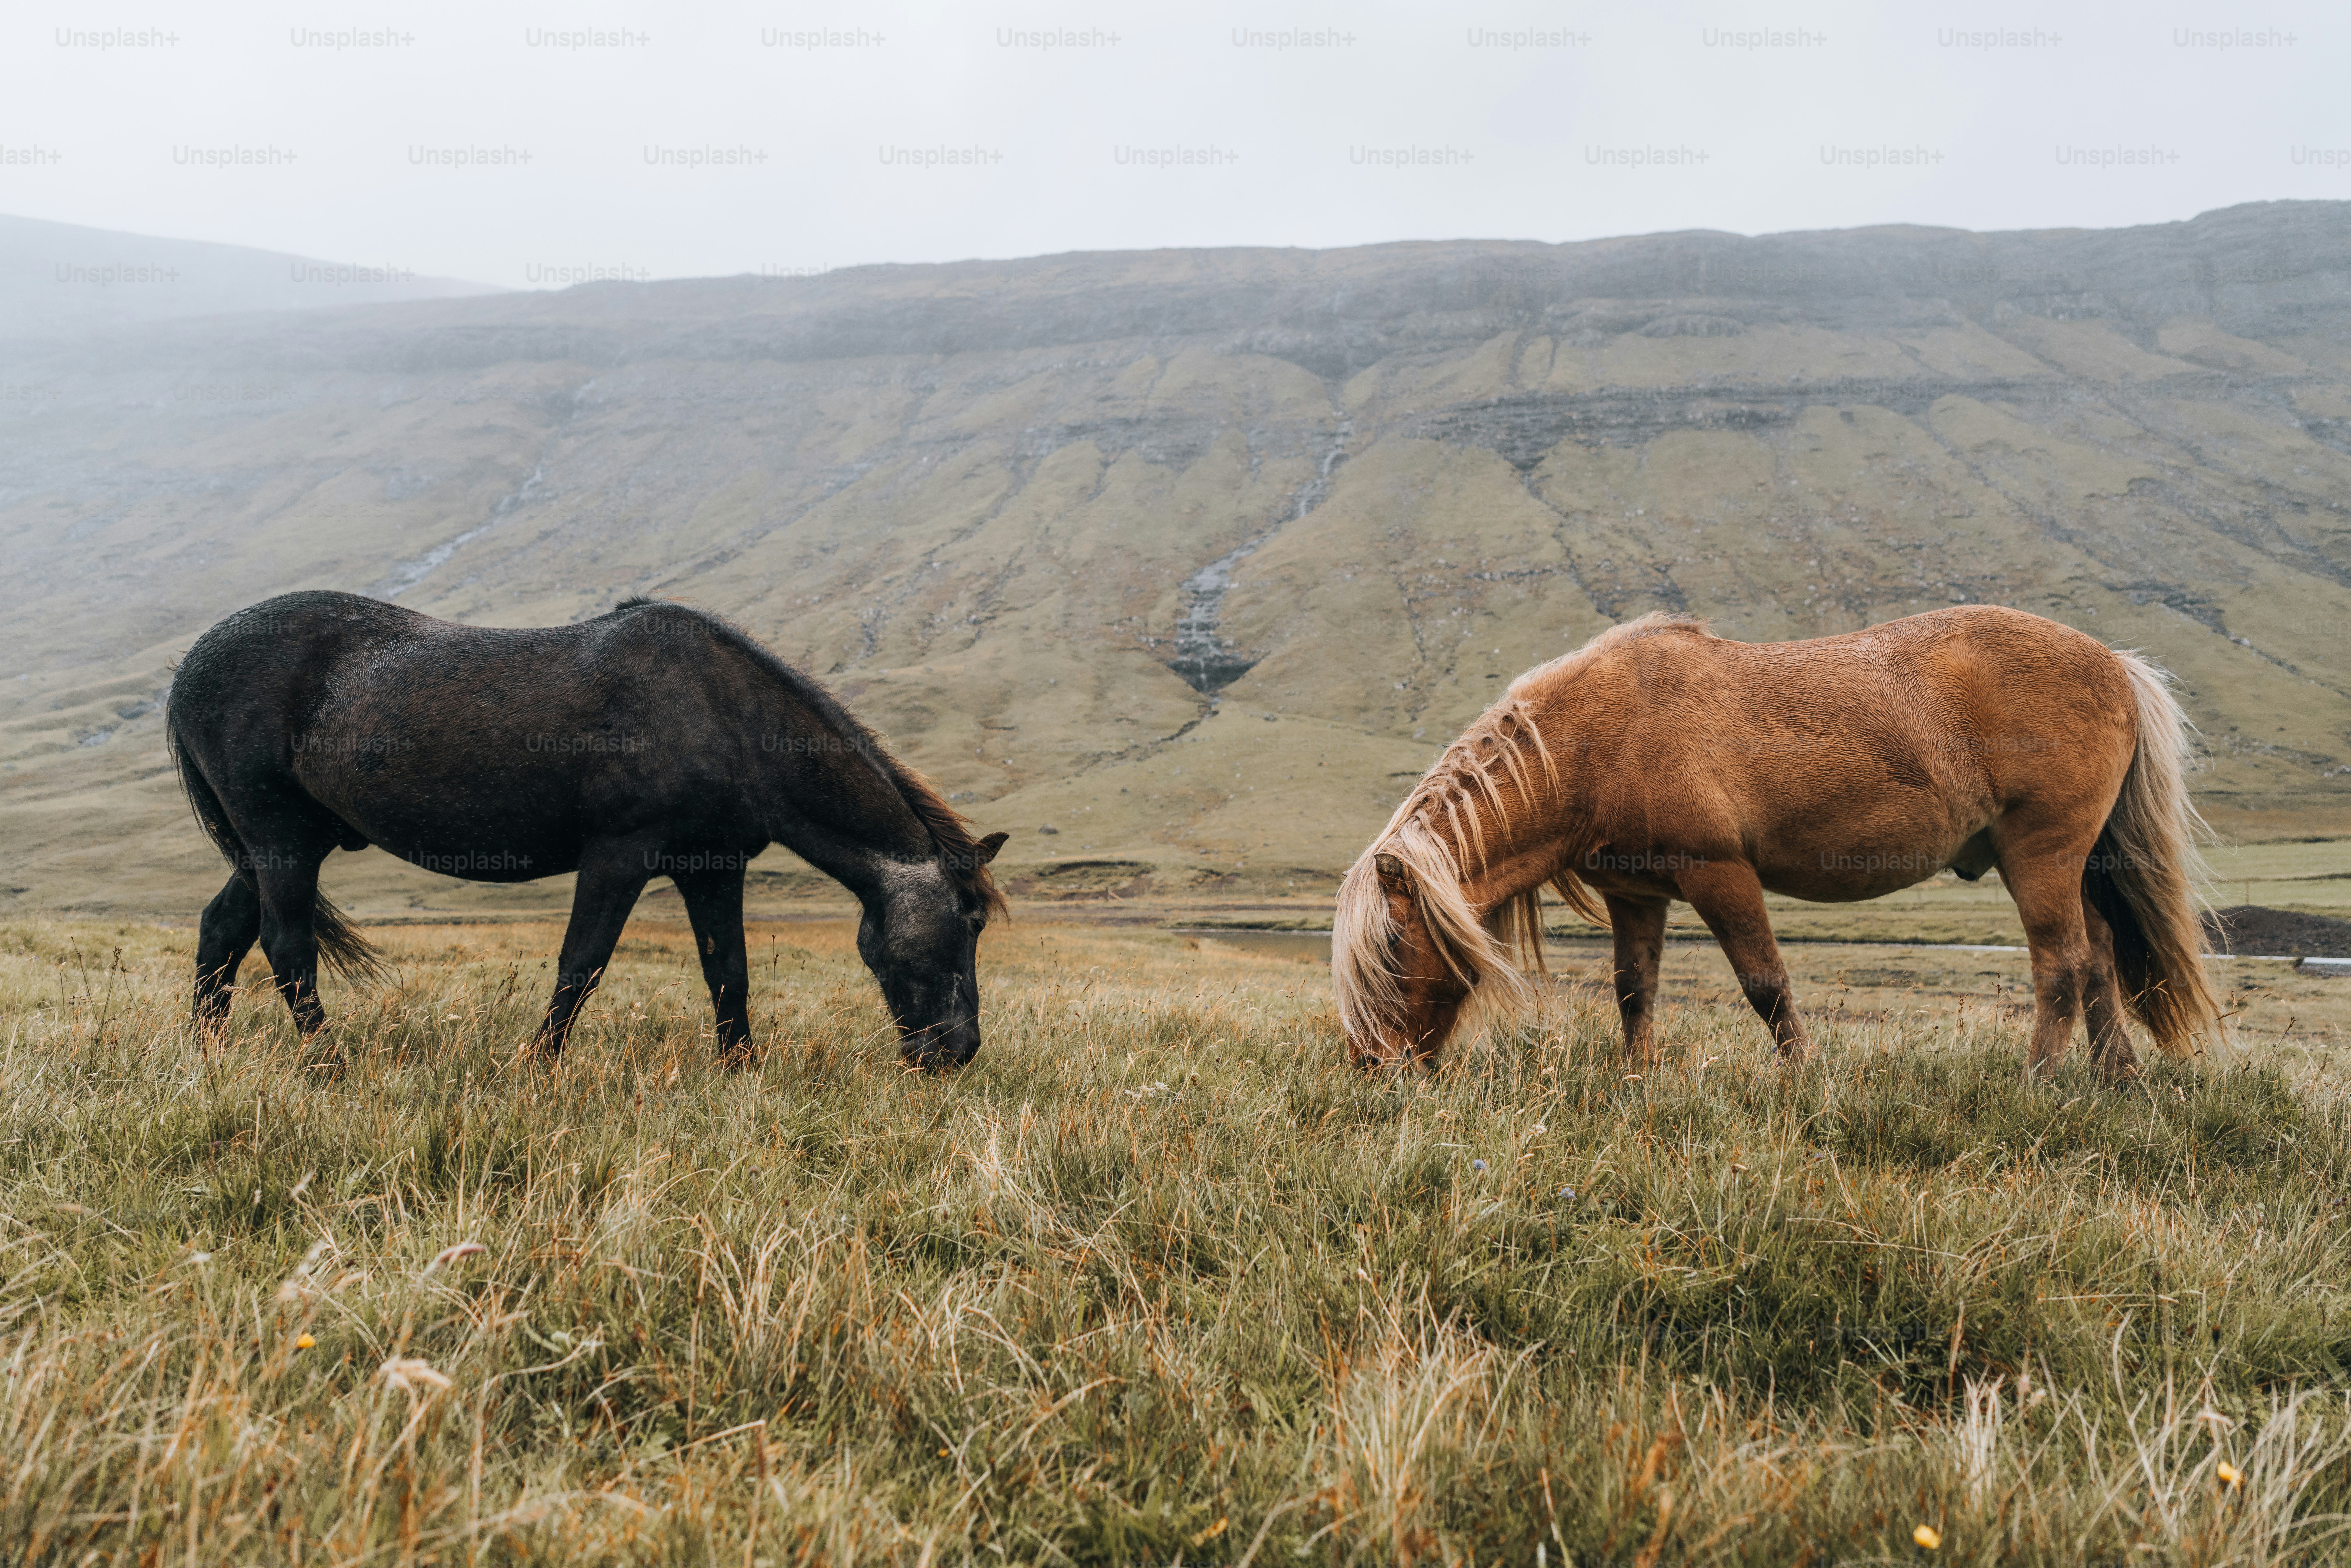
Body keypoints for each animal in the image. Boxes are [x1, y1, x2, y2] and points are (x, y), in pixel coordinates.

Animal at [165, 591, 1008, 1068]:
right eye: (967, 922)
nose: (958, 1052)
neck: (725, 715)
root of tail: (192, 663)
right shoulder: (619, 854)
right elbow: (583, 964)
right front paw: (538, 1069)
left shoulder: (713, 866)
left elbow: (728, 971)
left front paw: (741, 1072)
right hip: (279, 838)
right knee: (287, 948)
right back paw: (326, 1066)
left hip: (281, 844)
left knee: (222, 931)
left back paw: (207, 1057)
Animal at [1333, 607, 2222, 1079]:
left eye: (1392, 947)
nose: (1375, 1067)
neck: (1599, 737)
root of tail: (2116, 664)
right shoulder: (1637, 893)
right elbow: (1634, 990)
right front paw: (1636, 1079)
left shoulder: (1721, 874)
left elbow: (1766, 987)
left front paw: (1802, 1083)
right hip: (2074, 864)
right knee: (2100, 956)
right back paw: (2117, 1082)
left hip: (2039, 855)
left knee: (2063, 965)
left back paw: (2034, 1081)